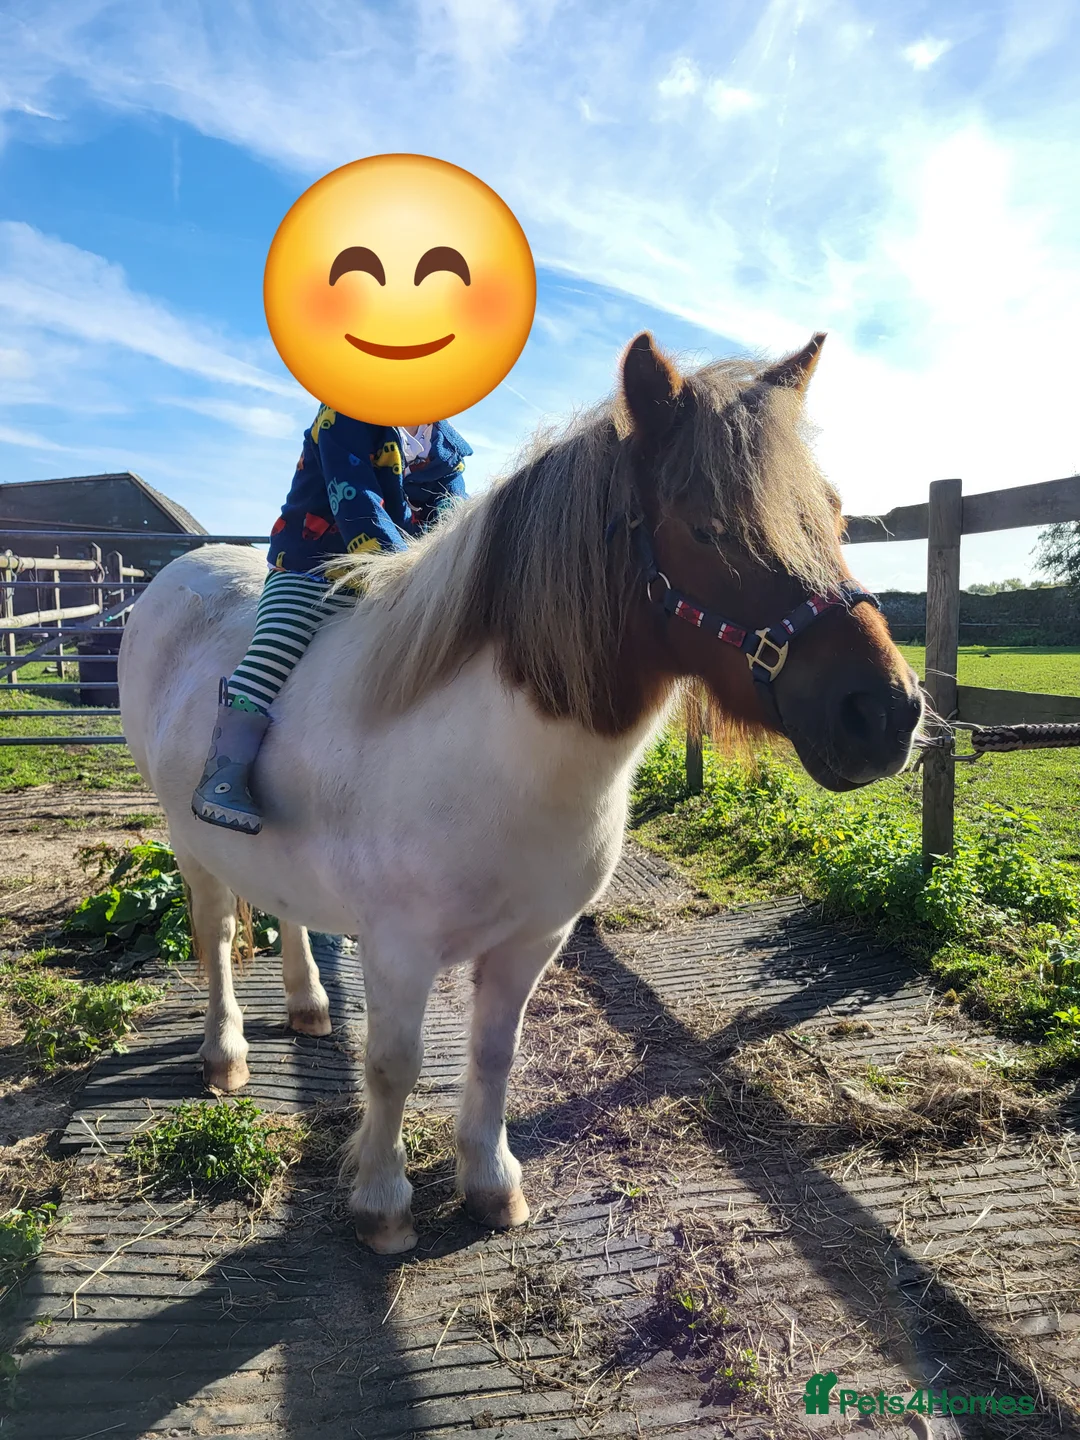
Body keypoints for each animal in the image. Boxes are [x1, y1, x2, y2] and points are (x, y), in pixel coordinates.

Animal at [118, 330, 923, 1254]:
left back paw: (309, 1006)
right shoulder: (399, 949)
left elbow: (494, 1055)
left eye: (834, 515)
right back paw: (225, 1055)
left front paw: (491, 1184)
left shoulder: (532, 942)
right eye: (706, 527)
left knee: (286, 913)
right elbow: (392, 1067)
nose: (887, 713)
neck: (497, 752)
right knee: (215, 934)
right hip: (191, 841)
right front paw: (384, 1203)